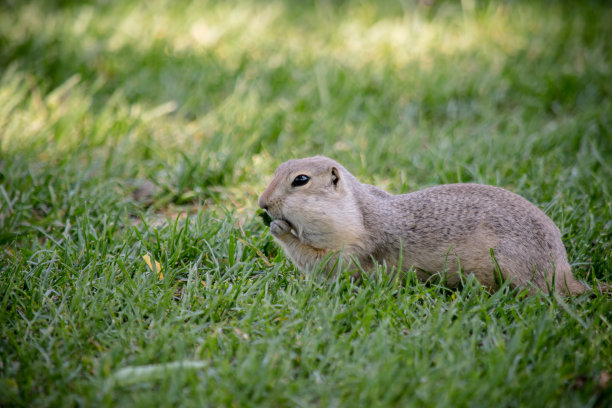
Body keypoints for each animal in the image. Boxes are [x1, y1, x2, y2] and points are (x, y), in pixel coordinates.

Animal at [255, 155, 588, 294]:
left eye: (301, 180)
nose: (262, 203)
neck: (359, 212)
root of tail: (563, 273)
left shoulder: (356, 246)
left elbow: (325, 262)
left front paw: (279, 229)